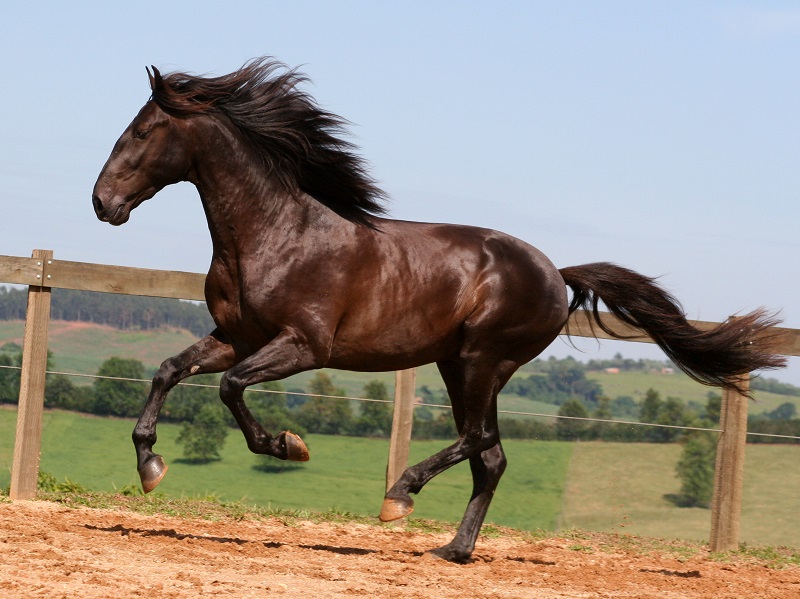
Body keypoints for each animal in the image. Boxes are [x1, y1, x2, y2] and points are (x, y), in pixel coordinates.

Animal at [92, 57, 785, 562]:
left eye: (143, 131)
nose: (102, 202)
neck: (278, 233)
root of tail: (555, 274)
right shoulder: (235, 335)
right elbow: (169, 371)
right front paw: (150, 466)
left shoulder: (303, 344)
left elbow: (231, 389)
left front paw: (288, 445)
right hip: (462, 366)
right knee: (491, 456)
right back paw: (454, 549)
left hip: (481, 359)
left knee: (478, 440)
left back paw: (399, 498)